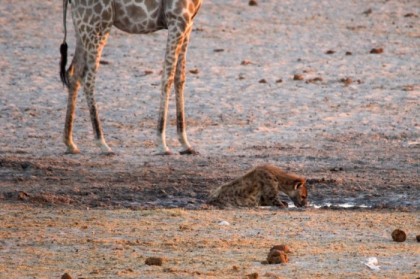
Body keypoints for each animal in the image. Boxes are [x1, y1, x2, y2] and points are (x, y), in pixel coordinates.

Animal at [59, 0, 202, 155]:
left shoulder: (188, 23)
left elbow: (179, 77)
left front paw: (185, 144)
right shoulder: (177, 20)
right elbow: (167, 77)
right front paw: (162, 144)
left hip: (83, 27)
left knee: (73, 74)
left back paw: (70, 143)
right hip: (98, 24)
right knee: (88, 78)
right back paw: (102, 144)